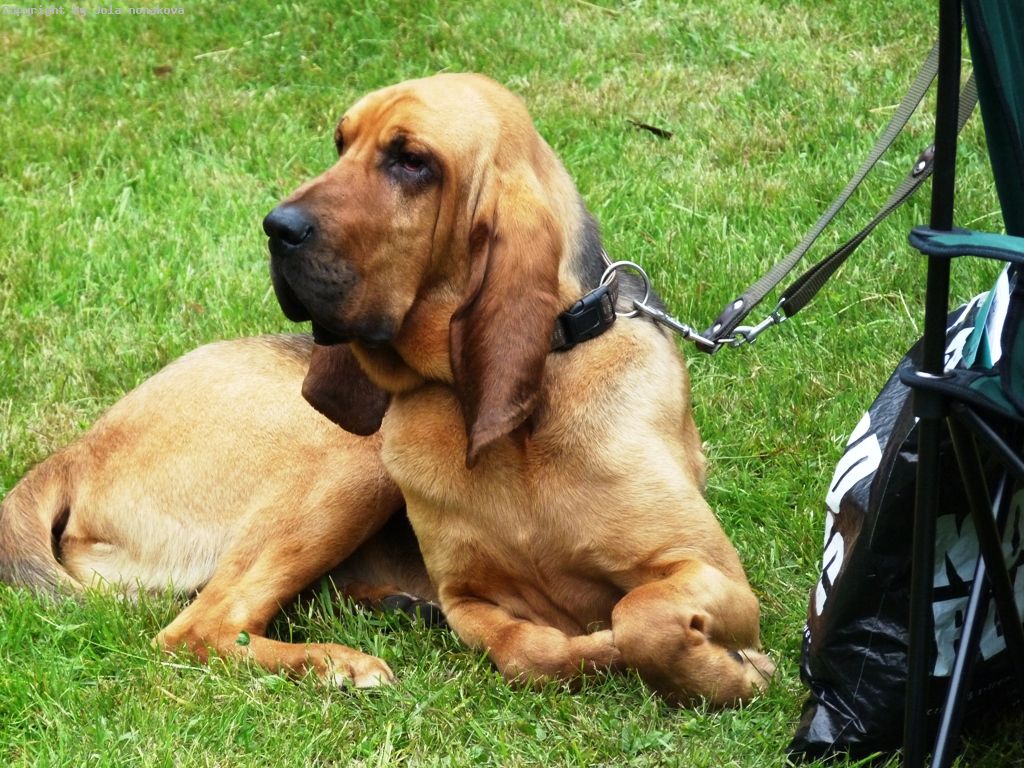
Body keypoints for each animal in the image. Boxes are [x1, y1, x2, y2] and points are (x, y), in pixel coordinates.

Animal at [265, 72, 775, 706]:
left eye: (411, 161)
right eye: (341, 143)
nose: (276, 228)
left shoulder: (707, 568)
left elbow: (642, 614)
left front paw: (732, 674)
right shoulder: (466, 596)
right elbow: (527, 652)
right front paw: (596, 651)